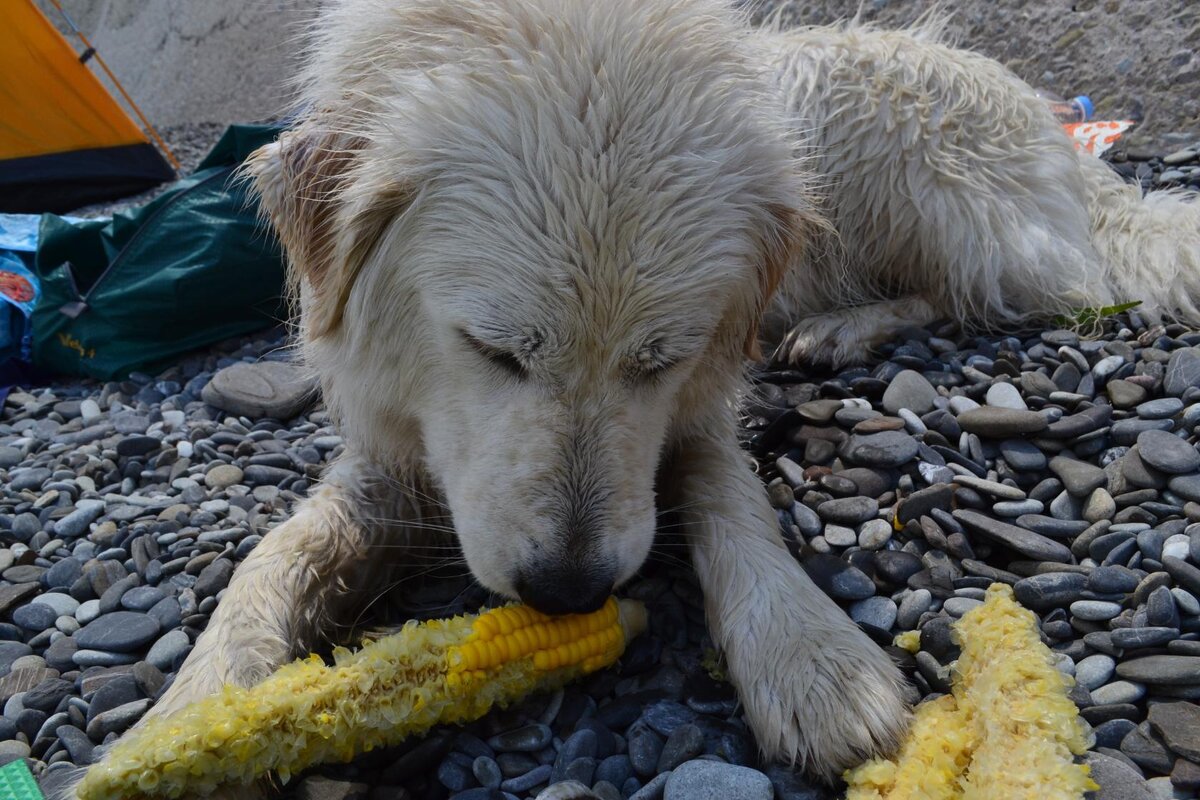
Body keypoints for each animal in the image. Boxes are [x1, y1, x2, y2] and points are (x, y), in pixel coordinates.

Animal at [68, 0, 1200, 796]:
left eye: (658, 358)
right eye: (493, 349)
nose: (569, 590)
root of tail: (1062, 141)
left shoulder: (701, 399)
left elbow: (731, 501)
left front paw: (813, 659)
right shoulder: (395, 453)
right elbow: (270, 559)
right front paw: (184, 719)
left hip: (900, 145)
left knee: (986, 292)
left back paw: (844, 326)